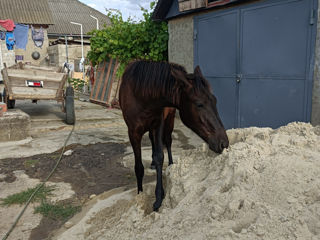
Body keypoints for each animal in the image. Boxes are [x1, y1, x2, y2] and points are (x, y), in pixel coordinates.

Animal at [119, 60, 228, 212]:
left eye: (215, 100)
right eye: (199, 104)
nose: (224, 143)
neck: (141, 94)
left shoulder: (158, 124)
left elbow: (159, 156)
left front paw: (159, 198)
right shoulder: (133, 132)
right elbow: (138, 167)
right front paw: (140, 195)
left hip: (169, 119)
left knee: (168, 142)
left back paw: (170, 165)